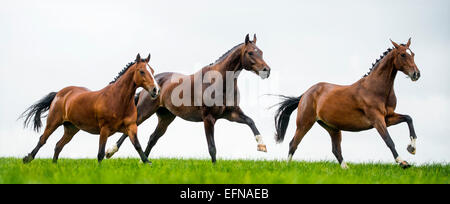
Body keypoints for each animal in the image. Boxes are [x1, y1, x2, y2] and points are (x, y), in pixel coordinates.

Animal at [21, 53, 162, 164]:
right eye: (142, 71)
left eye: (153, 71)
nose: (156, 90)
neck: (118, 100)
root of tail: (59, 93)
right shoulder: (104, 129)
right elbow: (100, 153)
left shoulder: (131, 127)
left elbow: (137, 146)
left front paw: (148, 163)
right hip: (53, 122)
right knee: (42, 140)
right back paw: (27, 159)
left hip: (71, 128)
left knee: (58, 145)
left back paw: (54, 165)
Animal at [104, 34, 270, 163]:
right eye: (250, 53)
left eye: (261, 52)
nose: (266, 70)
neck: (218, 82)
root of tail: (153, 84)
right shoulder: (208, 118)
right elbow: (212, 147)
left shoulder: (231, 113)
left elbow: (250, 121)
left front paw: (262, 145)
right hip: (144, 111)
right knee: (131, 130)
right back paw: (110, 151)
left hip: (166, 118)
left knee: (152, 138)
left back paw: (143, 161)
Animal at [274, 38, 422, 169]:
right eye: (403, 54)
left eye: (413, 54)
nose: (416, 74)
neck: (375, 89)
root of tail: (305, 94)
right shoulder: (377, 120)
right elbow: (389, 141)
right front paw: (403, 162)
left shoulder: (388, 117)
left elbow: (408, 118)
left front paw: (412, 148)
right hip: (304, 123)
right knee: (293, 143)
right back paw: (287, 167)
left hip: (332, 128)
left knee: (335, 149)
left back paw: (346, 168)